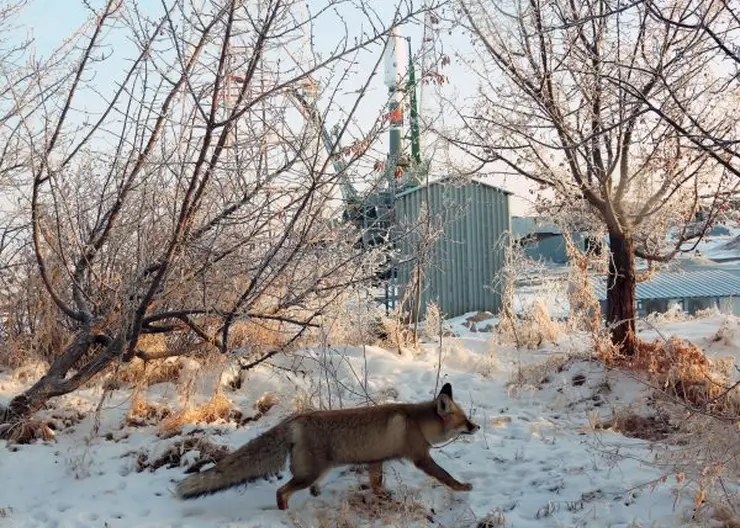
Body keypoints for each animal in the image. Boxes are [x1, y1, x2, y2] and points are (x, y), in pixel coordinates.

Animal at [177, 382, 482, 510]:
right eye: (465, 420)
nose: (477, 427)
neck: (417, 423)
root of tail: (296, 419)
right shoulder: (421, 458)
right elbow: (447, 477)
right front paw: (463, 488)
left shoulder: (376, 460)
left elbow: (376, 484)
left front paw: (382, 497)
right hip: (308, 473)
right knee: (281, 491)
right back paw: (285, 513)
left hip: (318, 471)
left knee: (302, 488)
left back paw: (315, 496)